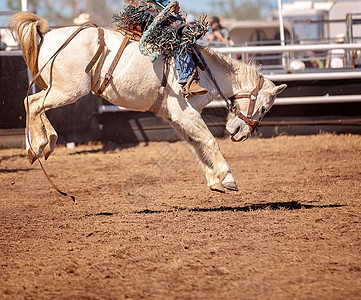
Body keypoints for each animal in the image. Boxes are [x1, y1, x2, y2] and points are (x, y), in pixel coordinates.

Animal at [7, 12, 286, 192]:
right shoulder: (186, 114)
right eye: (264, 108)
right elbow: (208, 141)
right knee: (33, 103)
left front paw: (213, 180)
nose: (242, 134)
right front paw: (227, 177)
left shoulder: (174, 117)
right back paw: (39, 144)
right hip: (68, 90)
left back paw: (45, 143)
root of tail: (49, 33)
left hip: (58, 89)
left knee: (32, 102)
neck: (205, 70)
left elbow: (194, 145)